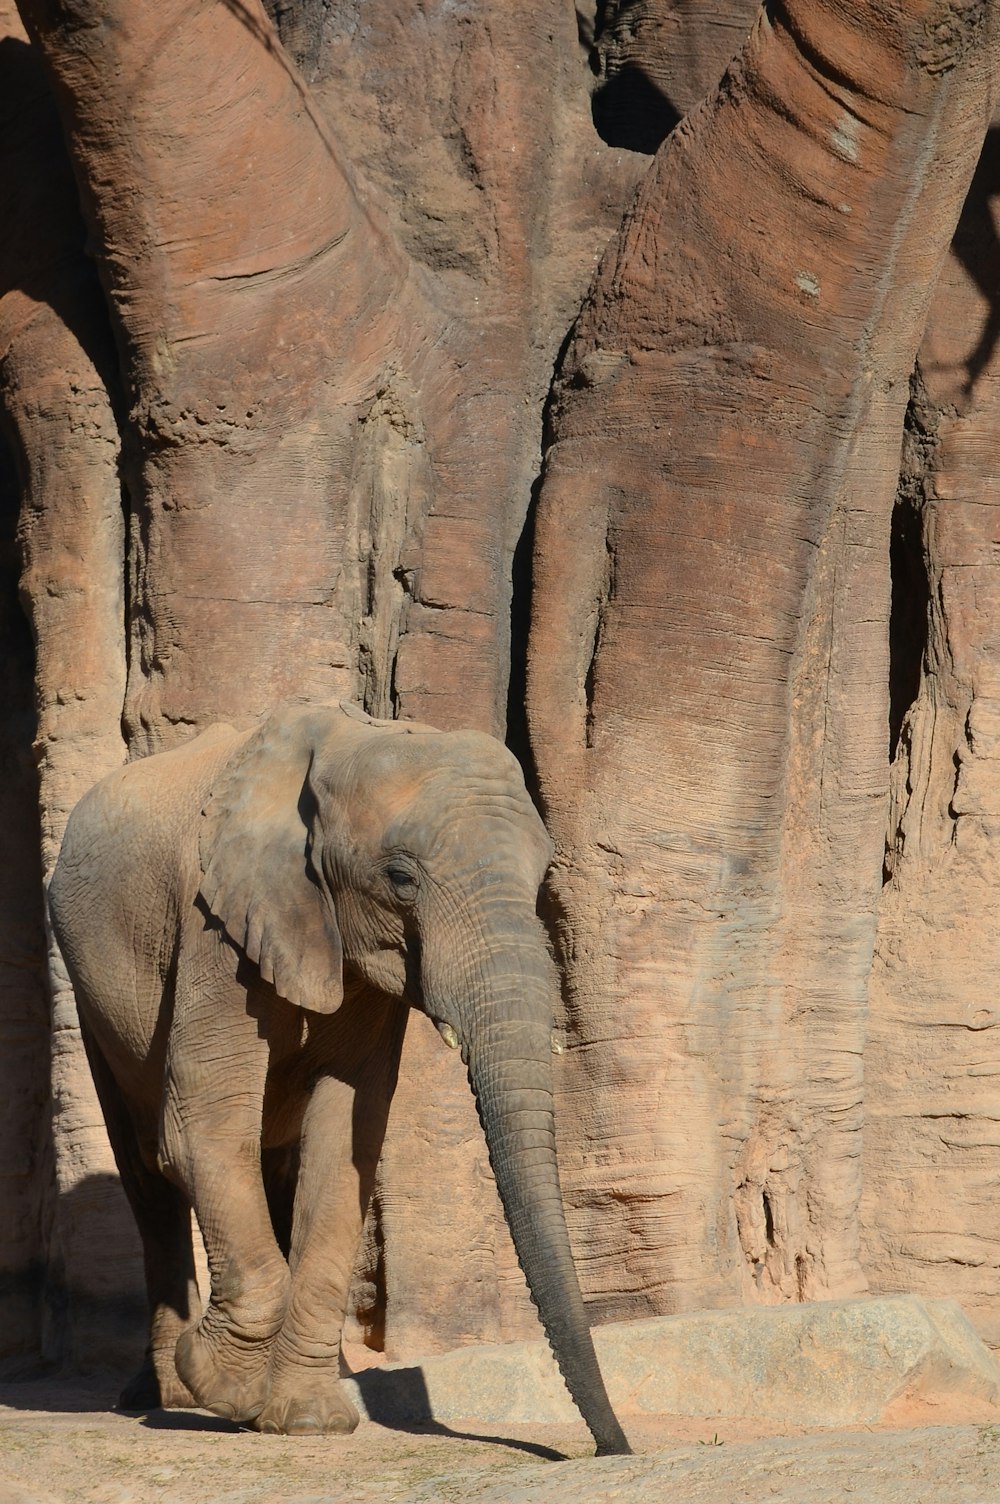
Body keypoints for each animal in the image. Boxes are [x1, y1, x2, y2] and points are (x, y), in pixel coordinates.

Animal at [46, 700, 628, 1455]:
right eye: (401, 877)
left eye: (540, 880)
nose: (609, 1448)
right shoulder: (216, 923)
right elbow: (202, 1129)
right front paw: (227, 1392)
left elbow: (344, 1145)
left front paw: (306, 1420)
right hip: (90, 989)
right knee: (149, 1173)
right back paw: (165, 1396)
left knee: (273, 1167)